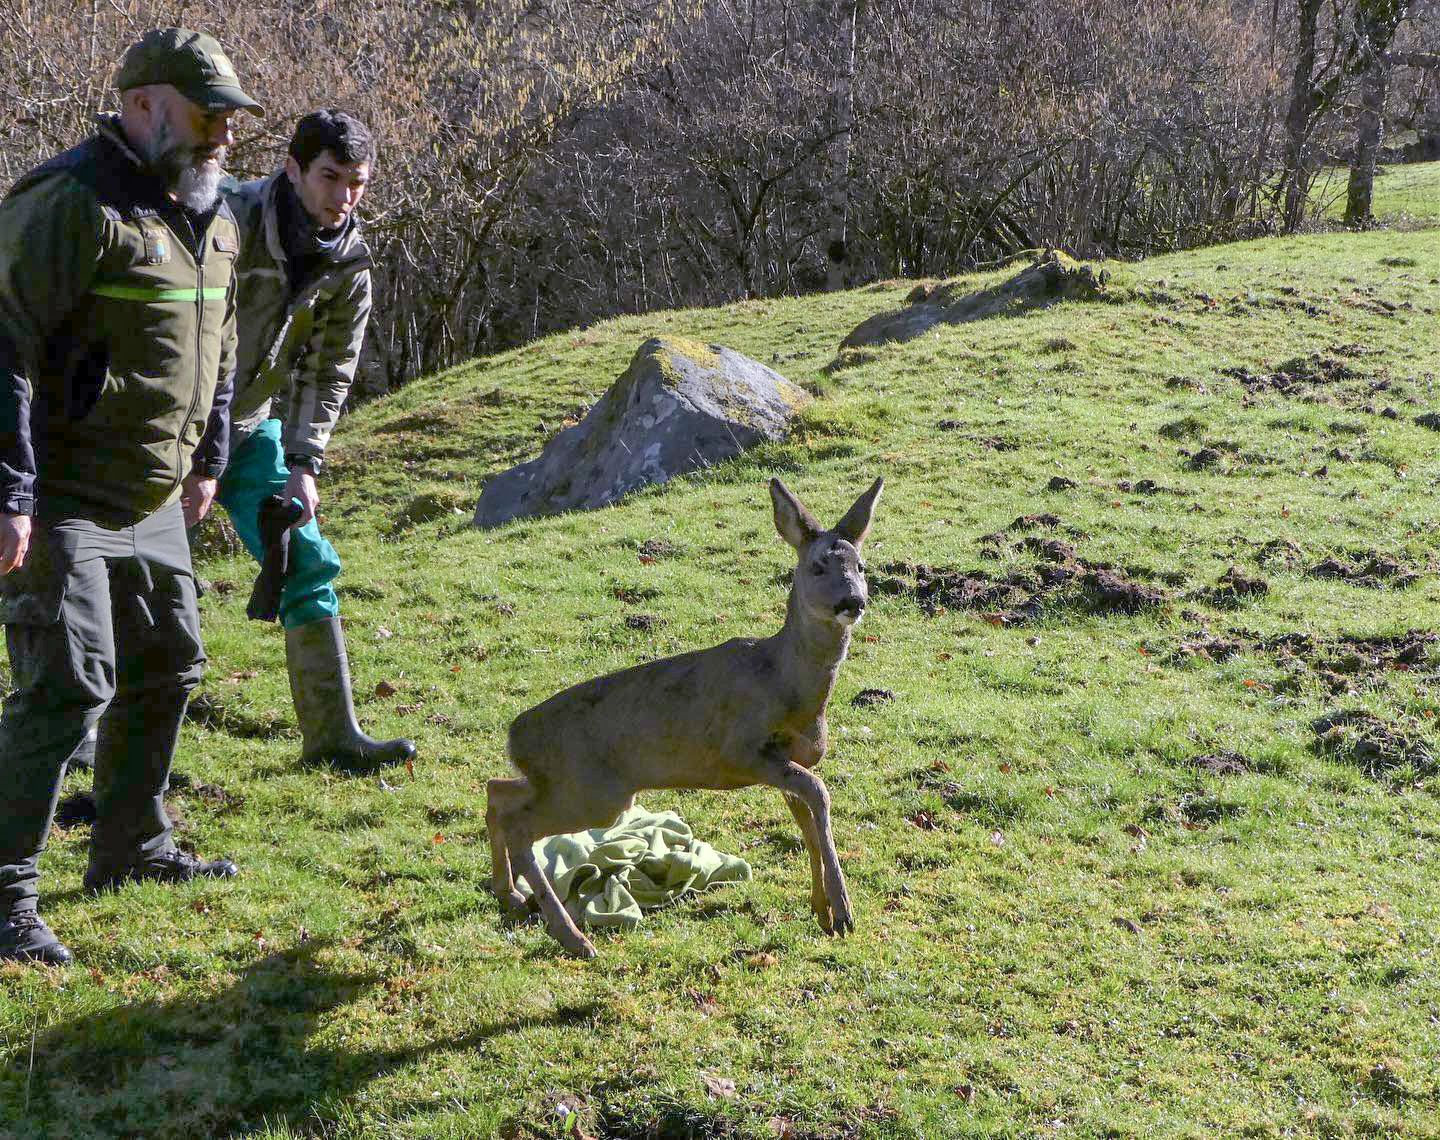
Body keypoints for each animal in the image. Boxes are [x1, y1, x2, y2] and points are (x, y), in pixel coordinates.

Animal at [489, 477, 881, 955]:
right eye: (817, 566)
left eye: (861, 565)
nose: (852, 601)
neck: (784, 681)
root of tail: (515, 736)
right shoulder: (741, 750)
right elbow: (818, 794)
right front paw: (842, 912)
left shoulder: (790, 759)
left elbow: (806, 815)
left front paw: (822, 909)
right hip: (594, 792)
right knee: (518, 823)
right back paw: (573, 937)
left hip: (567, 785)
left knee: (498, 792)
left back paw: (511, 895)